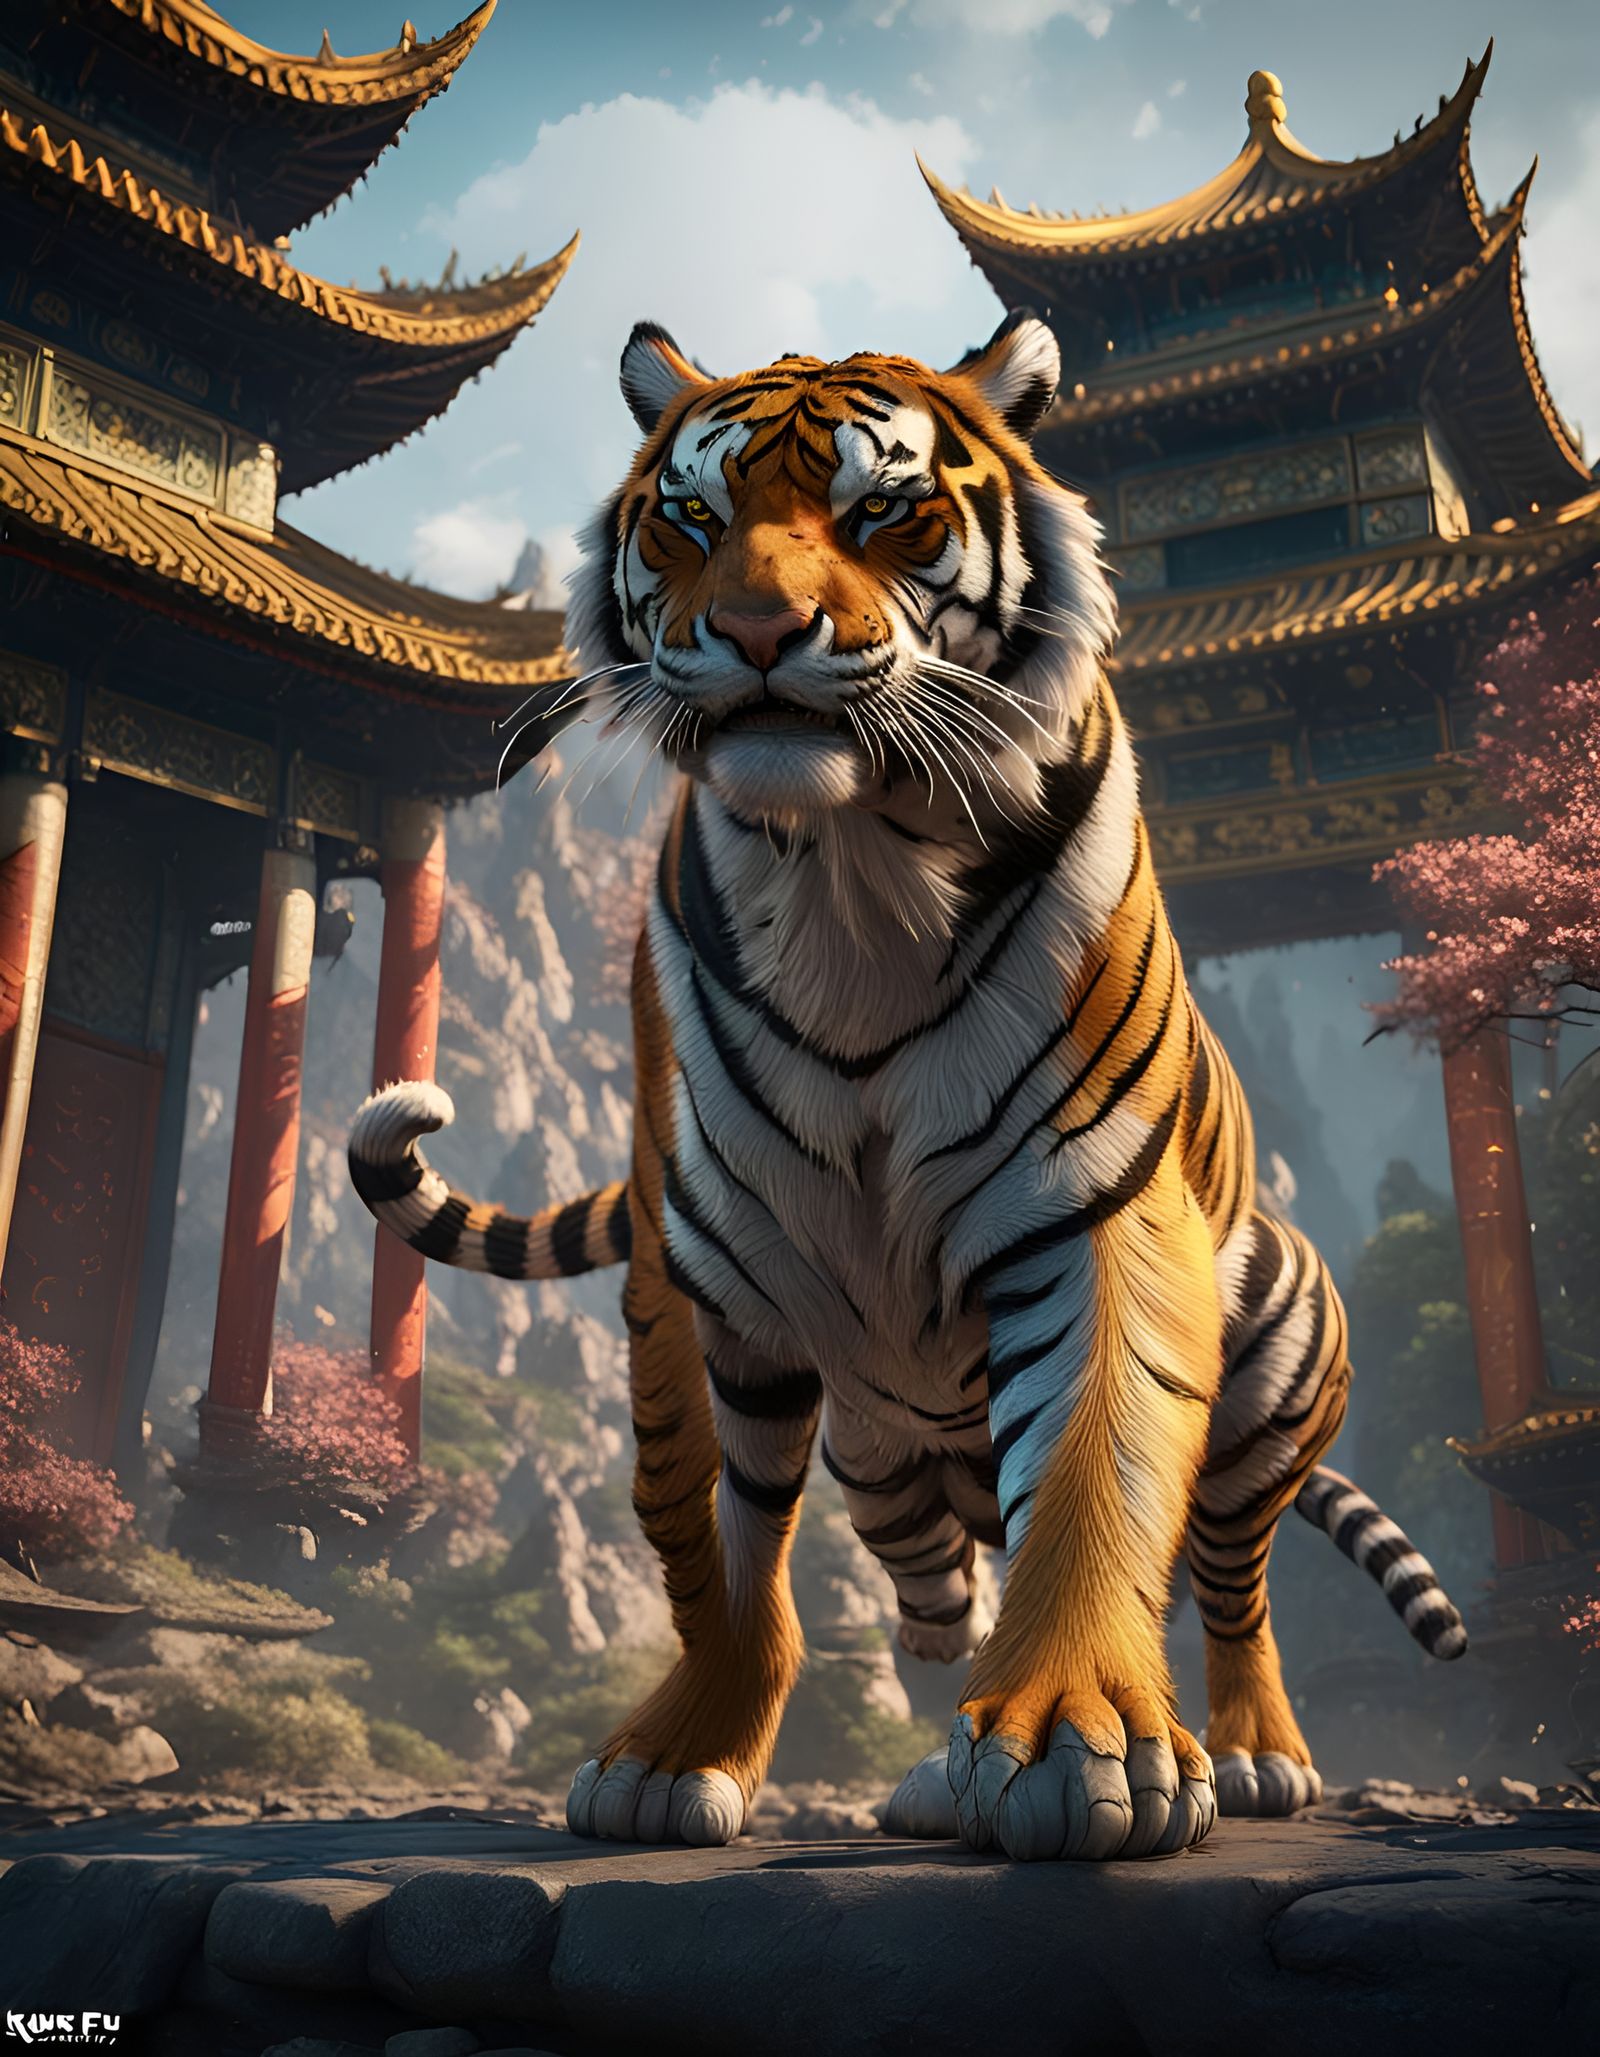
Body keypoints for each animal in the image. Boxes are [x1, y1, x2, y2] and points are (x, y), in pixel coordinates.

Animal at [349, 312, 1466, 1862]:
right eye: (692, 518)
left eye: (882, 510)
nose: (757, 634)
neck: (850, 871)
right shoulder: (703, 1268)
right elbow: (708, 1535)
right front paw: (674, 1759)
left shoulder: (1095, 1213)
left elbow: (1095, 1477)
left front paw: (1073, 1745)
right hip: (880, 1449)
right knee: (934, 1566)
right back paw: (938, 1728)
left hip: (1273, 1376)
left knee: (1226, 1577)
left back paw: (1246, 1754)